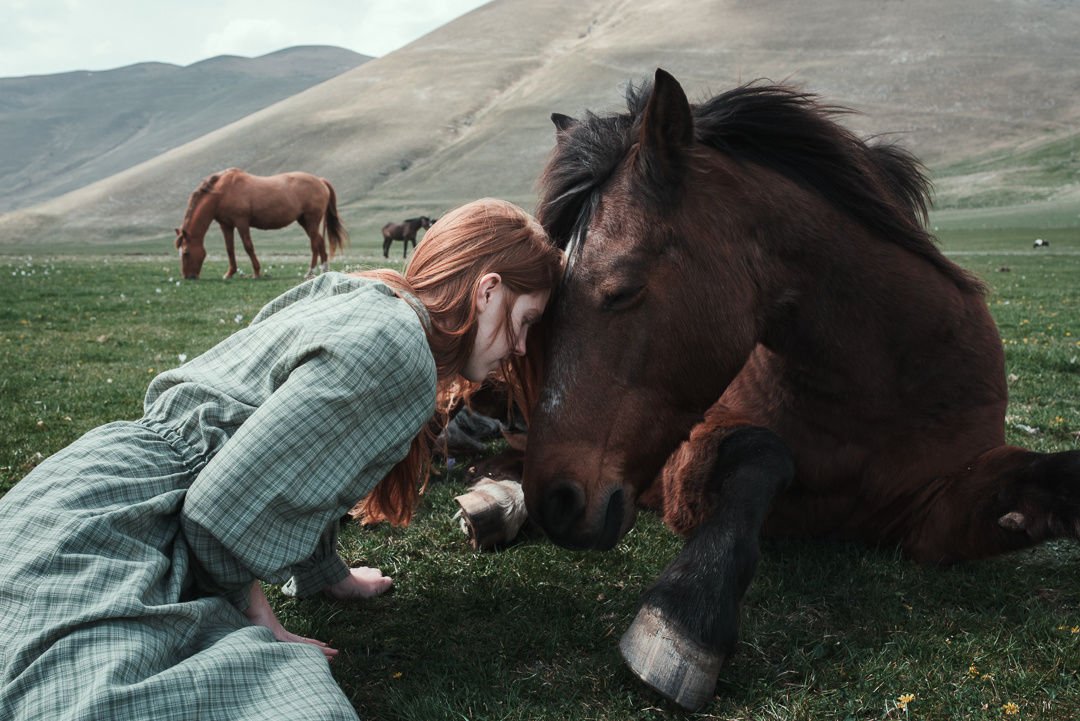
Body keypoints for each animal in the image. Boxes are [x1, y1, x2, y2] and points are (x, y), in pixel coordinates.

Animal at [174, 168, 348, 280]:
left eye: (186, 252)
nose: (188, 277)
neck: (222, 192)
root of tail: (320, 181)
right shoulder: (226, 225)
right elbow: (230, 249)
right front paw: (229, 273)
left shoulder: (241, 222)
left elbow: (248, 246)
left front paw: (257, 273)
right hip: (304, 221)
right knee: (319, 242)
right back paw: (324, 271)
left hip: (311, 220)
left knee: (314, 244)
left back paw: (310, 273)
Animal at [521, 69, 1080, 710]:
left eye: (622, 289)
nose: (554, 500)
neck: (876, 387)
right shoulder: (692, 453)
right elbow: (763, 453)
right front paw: (685, 617)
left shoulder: (934, 512)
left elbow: (1053, 475)